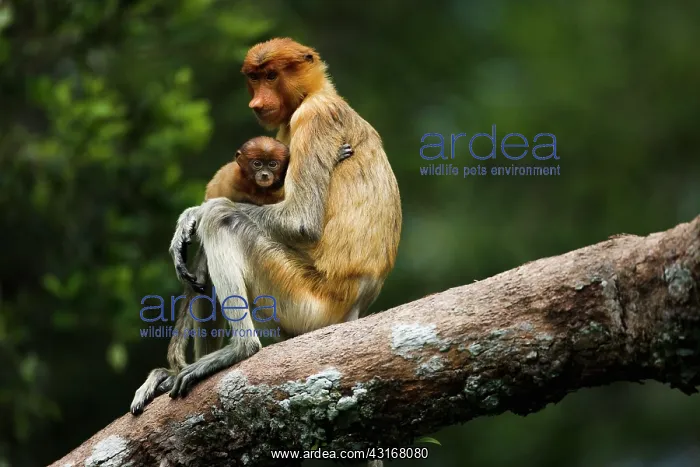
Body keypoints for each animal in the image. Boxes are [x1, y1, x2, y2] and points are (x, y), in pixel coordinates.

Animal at [130, 38, 402, 442]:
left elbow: (300, 221)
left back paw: (241, 349)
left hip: (306, 301)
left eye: (272, 75)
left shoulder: (313, 119)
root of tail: (355, 304)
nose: (258, 102)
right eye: (254, 78)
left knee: (223, 221)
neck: (317, 93)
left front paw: (193, 214)